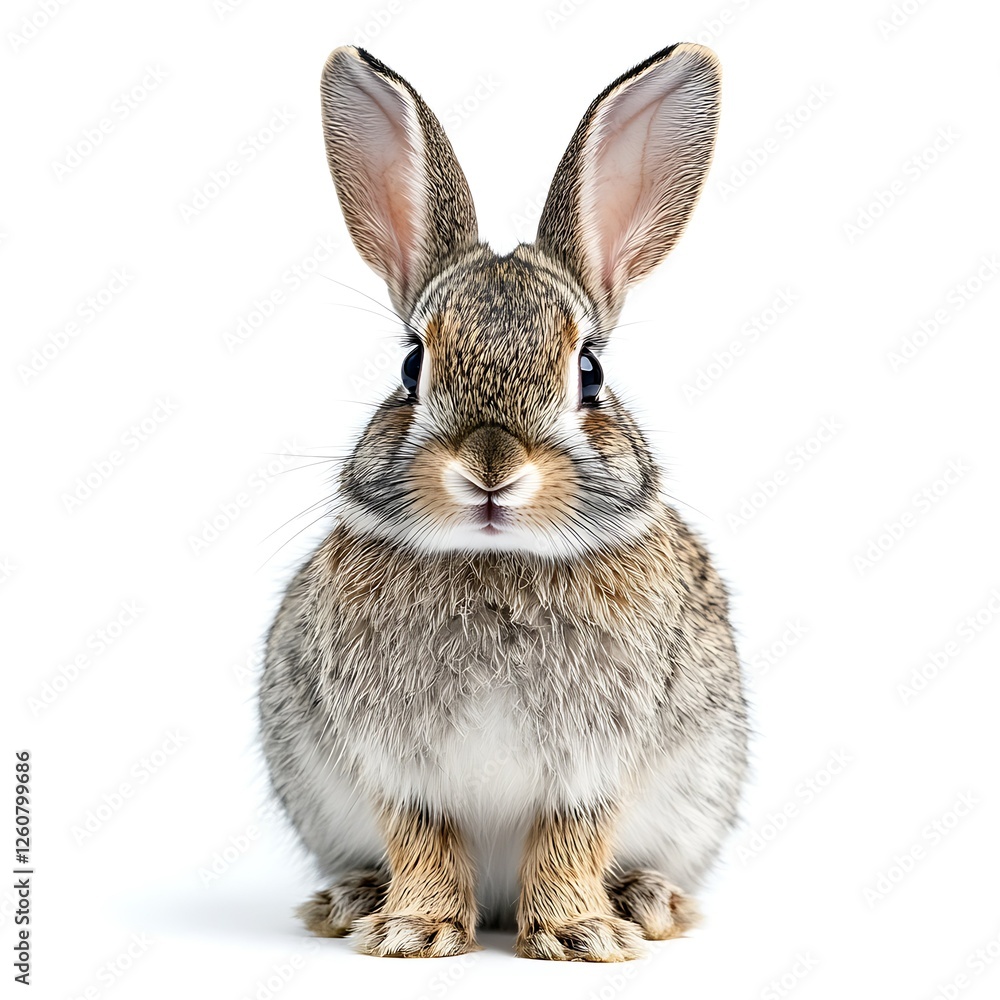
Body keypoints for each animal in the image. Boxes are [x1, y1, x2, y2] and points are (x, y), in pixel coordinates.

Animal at [258, 42, 749, 962]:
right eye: (411, 366)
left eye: (590, 371)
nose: (492, 467)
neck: (496, 559)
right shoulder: (401, 766)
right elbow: (421, 836)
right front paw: (413, 930)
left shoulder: (592, 765)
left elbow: (569, 841)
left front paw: (580, 935)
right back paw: (352, 897)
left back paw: (646, 899)